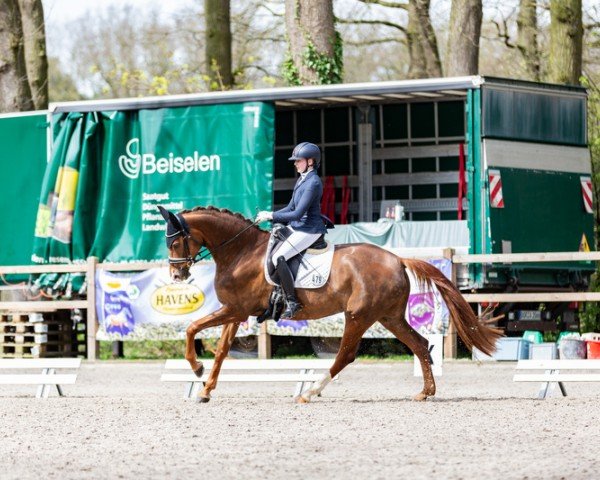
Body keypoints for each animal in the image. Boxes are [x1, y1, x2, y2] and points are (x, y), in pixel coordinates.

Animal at [159, 206, 502, 402]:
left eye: (174, 241)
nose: (177, 274)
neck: (241, 251)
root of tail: (397, 259)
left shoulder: (235, 310)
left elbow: (191, 328)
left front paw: (196, 368)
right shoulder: (236, 311)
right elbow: (220, 351)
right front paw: (205, 389)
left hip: (359, 315)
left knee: (346, 355)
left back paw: (311, 391)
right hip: (388, 316)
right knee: (419, 344)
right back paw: (425, 392)